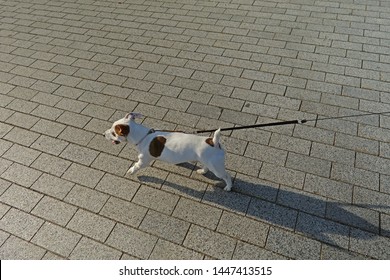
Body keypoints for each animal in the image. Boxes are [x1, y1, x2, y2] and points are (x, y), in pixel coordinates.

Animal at [103, 112, 232, 191]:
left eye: (114, 133)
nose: (103, 134)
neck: (143, 136)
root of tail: (213, 142)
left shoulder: (143, 161)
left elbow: (136, 165)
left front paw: (131, 171)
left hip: (217, 168)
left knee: (227, 176)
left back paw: (228, 187)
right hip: (207, 160)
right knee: (206, 166)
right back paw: (202, 171)